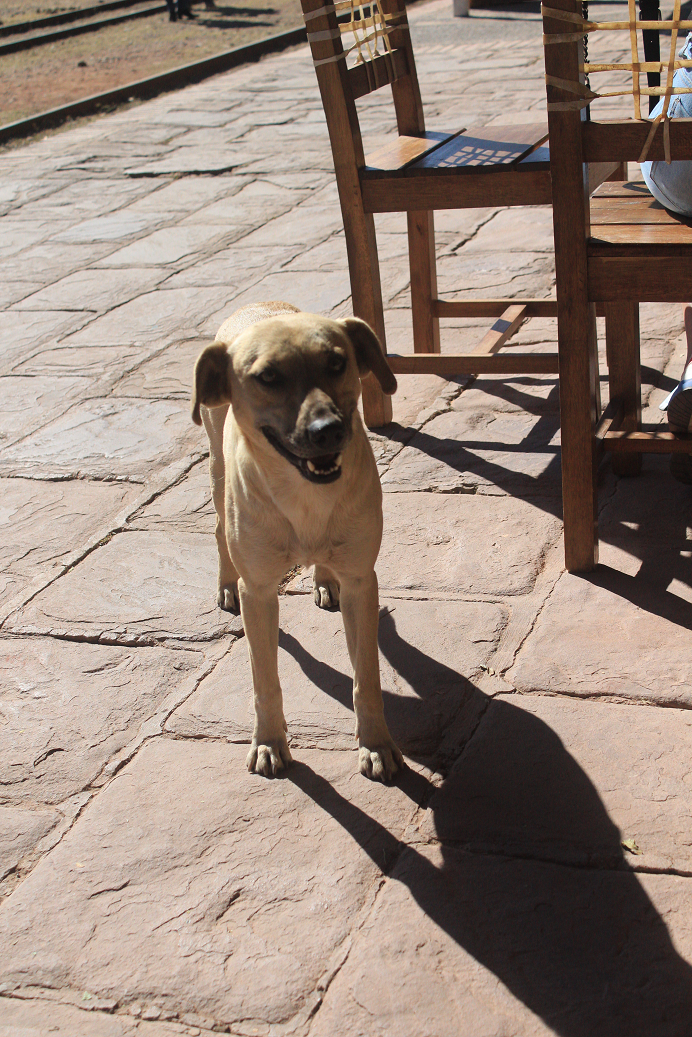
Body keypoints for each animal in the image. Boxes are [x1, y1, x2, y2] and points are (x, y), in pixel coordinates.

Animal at [191, 302, 402, 779]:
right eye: (268, 376)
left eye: (337, 363)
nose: (328, 430)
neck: (306, 497)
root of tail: (255, 306)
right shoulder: (260, 591)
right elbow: (264, 680)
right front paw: (269, 741)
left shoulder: (362, 581)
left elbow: (367, 677)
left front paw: (376, 744)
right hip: (217, 473)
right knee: (218, 530)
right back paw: (225, 585)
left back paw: (323, 580)